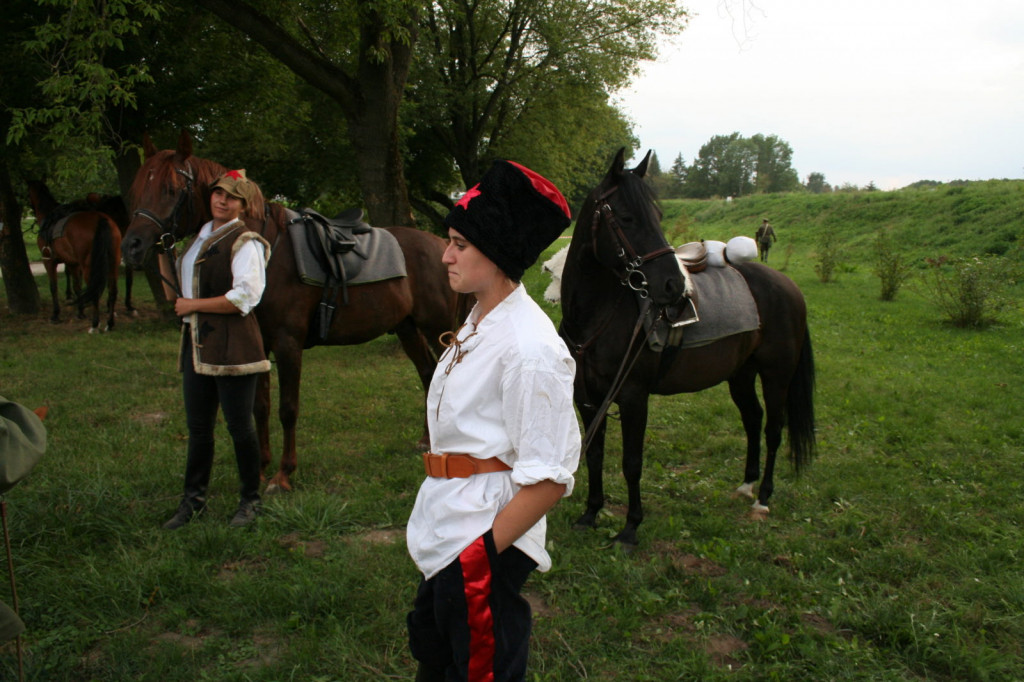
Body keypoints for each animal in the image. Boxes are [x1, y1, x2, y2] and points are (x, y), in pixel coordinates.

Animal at [28, 179, 122, 329]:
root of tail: (101, 220)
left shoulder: (48, 261)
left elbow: (53, 287)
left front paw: (55, 314)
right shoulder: (73, 264)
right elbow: (77, 287)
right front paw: (80, 311)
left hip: (89, 266)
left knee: (95, 290)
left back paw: (95, 323)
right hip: (113, 263)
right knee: (112, 291)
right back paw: (110, 323)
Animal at [118, 130, 464, 491]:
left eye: (171, 189)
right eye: (139, 188)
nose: (132, 246)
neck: (267, 251)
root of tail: (442, 244)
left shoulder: (287, 344)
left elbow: (287, 408)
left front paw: (283, 474)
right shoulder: (259, 345)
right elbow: (261, 407)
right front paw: (260, 468)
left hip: (437, 328)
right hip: (407, 328)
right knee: (427, 372)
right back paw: (426, 440)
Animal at [561, 148, 815, 548]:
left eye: (659, 216)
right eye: (627, 217)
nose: (673, 286)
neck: (594, 317)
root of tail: (788, 286)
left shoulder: (633, 397)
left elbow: (631, 463)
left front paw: (630, 529)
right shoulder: (586, 397)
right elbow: (596, 452)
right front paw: (590, 514)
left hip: (777, 374)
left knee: (774, 428)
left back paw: (762, 498)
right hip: (741, 374)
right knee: (753, 418)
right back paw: (746, 484)